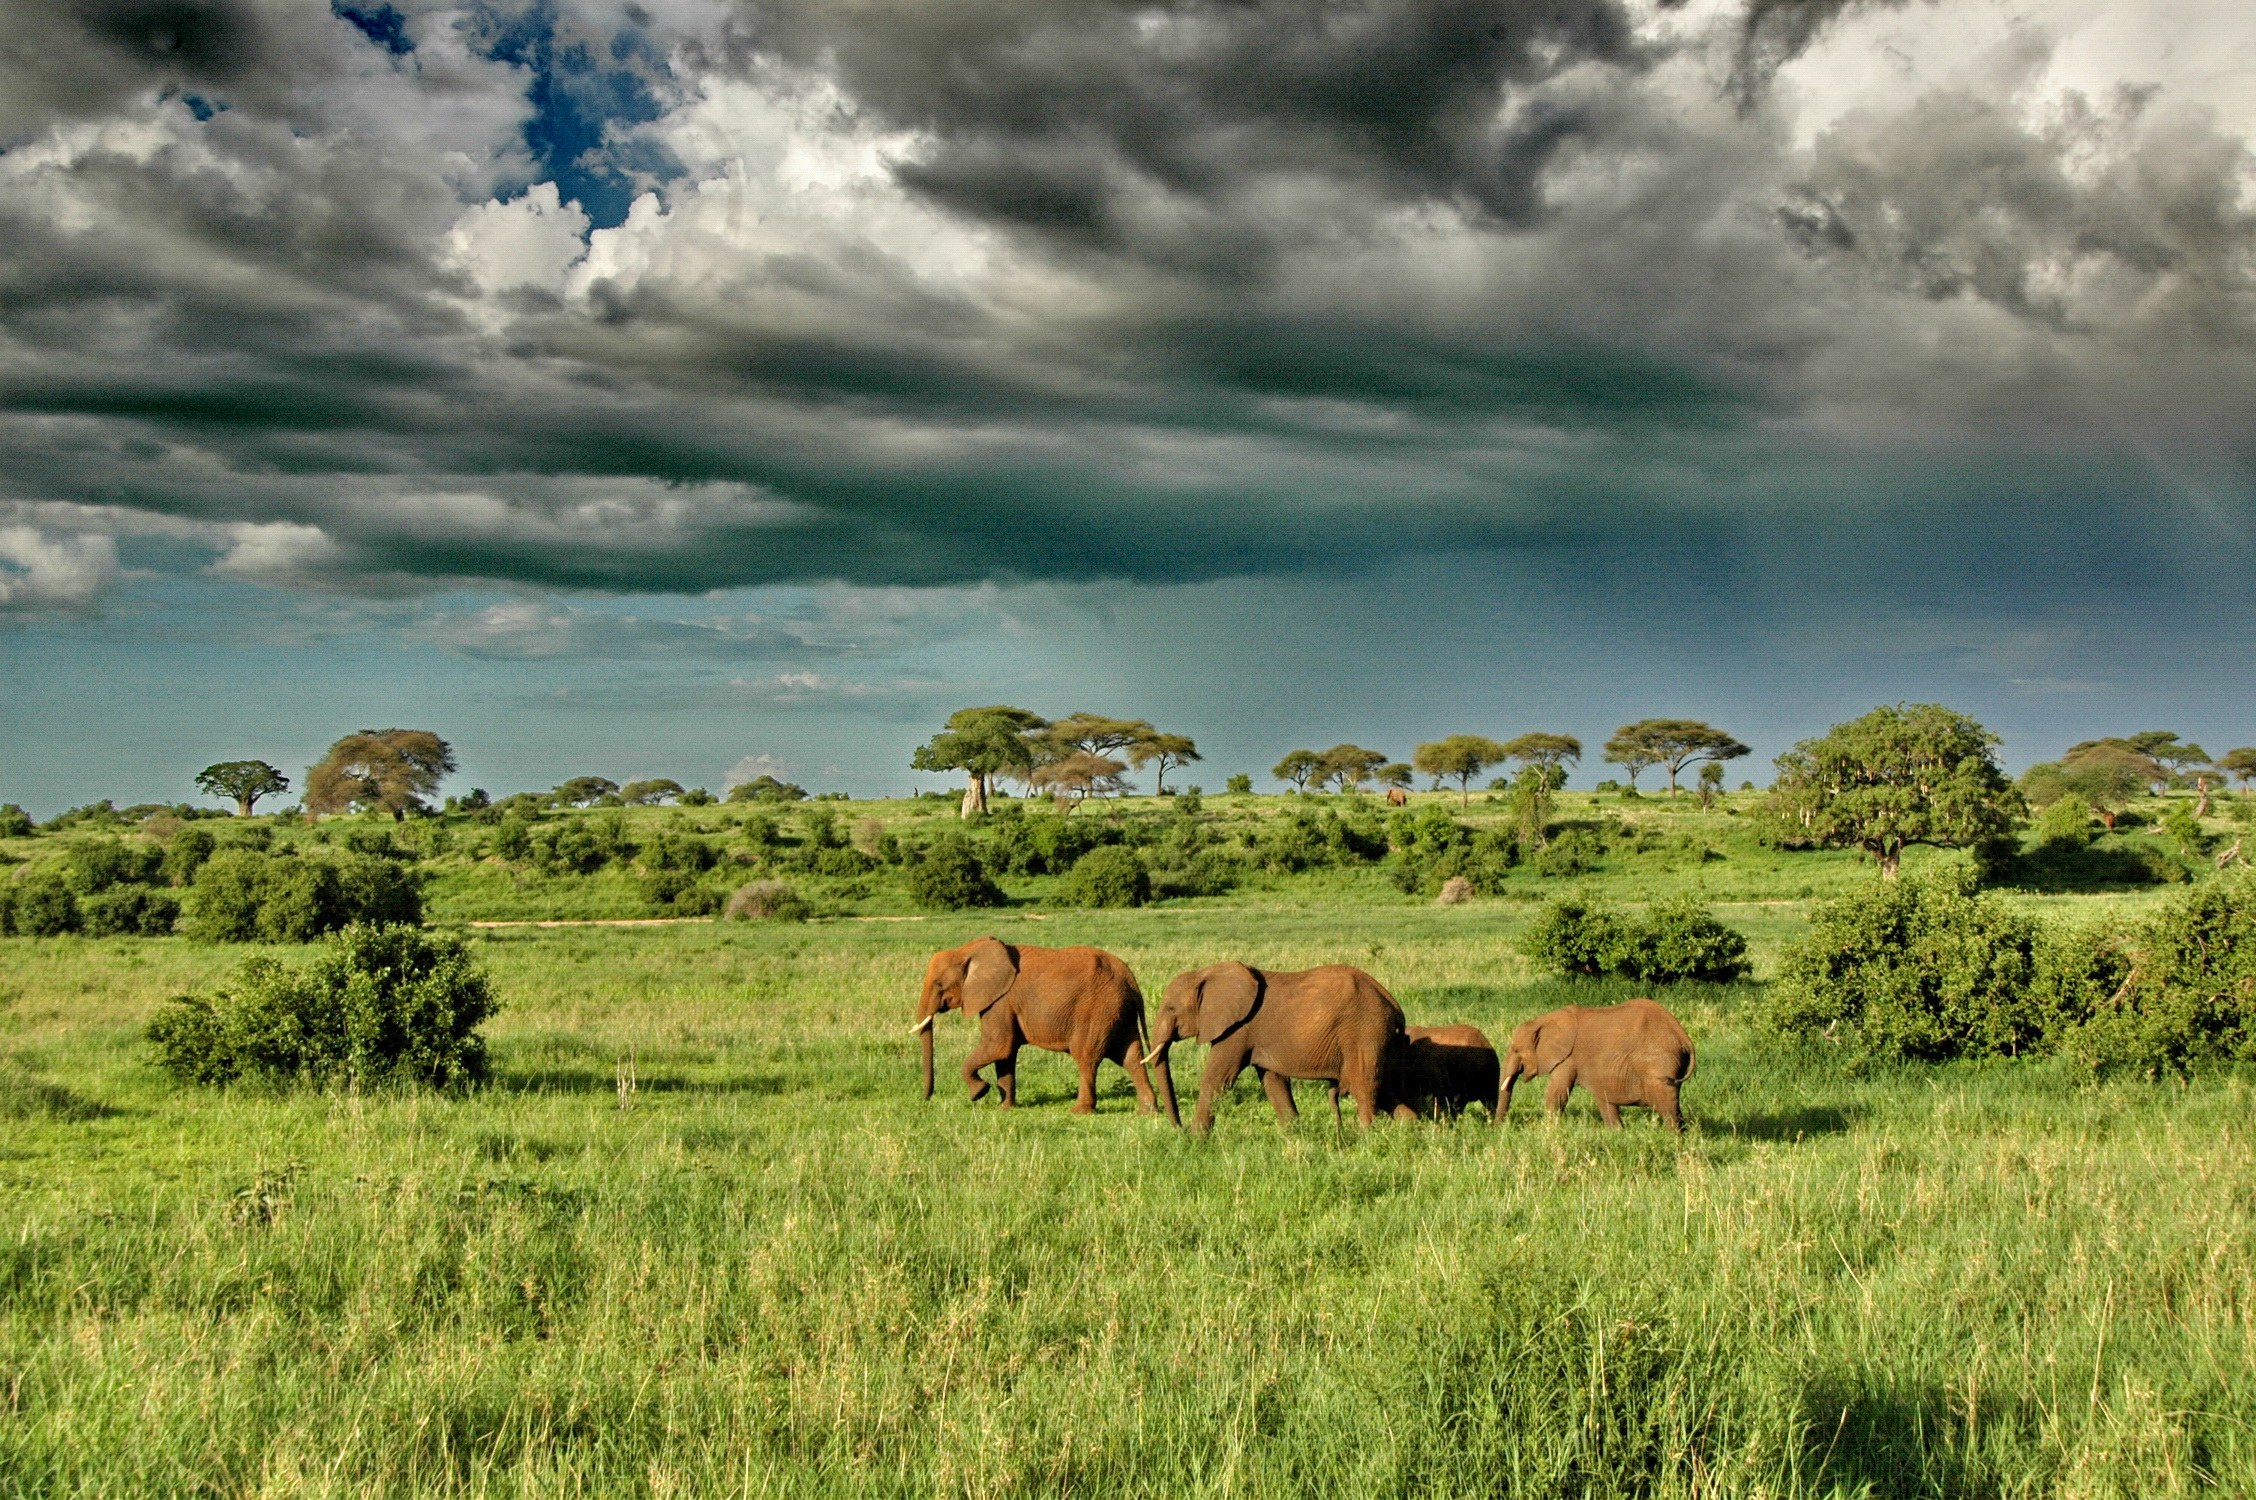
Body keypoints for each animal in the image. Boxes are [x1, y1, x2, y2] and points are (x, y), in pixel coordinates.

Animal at [912, 938, 1159, 1114]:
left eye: (939, 984)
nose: (926, 1099)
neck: (968, 950)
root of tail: (1130, 979)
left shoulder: (1000, 1002)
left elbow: (998, 1046)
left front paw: (979, 1093)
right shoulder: (1001, 1003)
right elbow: (1005, 1054)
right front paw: (1004, 1109)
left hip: (1098, 1011)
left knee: (1086, 1058)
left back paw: (1079, 1111)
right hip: (1118, 1012)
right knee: (1132, 1057)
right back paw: (1148, 1111)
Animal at [1146, 962, 1412, 1132]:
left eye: (1170, 1008)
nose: (1178, 1128)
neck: (1206, 973)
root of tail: (1394, 1007)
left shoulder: (1237, 1030)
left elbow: (1217, 1078)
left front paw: (1195, 1139)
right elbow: (1273, 1081)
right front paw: (1295, 1134)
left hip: (1364, 1033)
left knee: (1365, 1088)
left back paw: (1367, 1135)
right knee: (1384, 1090)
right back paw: (1409, 1130)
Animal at [1498, 998, 1695, 1131]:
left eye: (1516, 1050)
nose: (1497, 1127)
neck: (1543, 1020)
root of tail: (1683, 1035)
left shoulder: (1568, 1059)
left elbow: (1555, 1094)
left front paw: (1550, 1130)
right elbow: (1604, 1098)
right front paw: (1617, 1133)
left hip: (1659, 1064)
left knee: (1668, 1107)